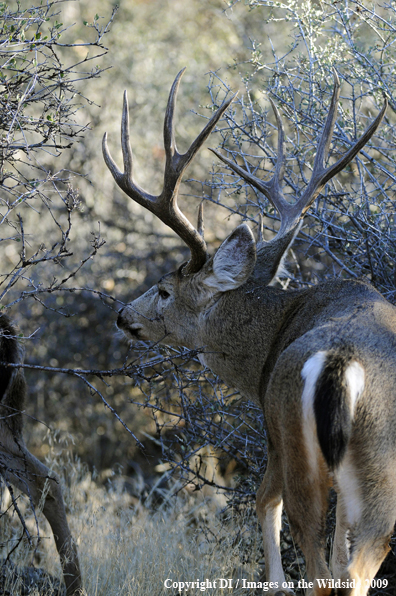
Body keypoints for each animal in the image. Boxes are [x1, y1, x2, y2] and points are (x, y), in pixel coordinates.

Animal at [102, 66, 392, 596]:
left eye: (164, 290)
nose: (122, 314)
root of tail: (343, 364)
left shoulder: (272, 433)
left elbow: (263, 506)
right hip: (381, 463)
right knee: (356, 563)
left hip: (296, 441)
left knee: (317, 559)